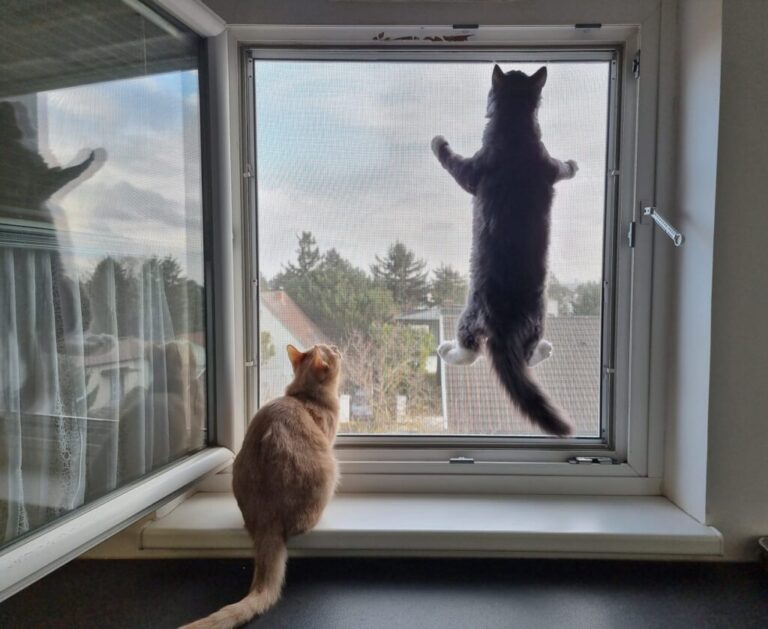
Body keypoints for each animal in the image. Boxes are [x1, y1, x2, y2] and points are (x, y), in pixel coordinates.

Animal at [431, 65, 577, 436]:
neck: (517, 133)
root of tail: (505, 323)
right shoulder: (548, 163)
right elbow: (562, 167)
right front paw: (574, 164)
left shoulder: (474, 168)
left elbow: (451, 161)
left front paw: (438, 142)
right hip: (537, 320)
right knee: (524, 357)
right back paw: (544, 349)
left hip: (470, 315)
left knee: (471, 351)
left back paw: (447, 348)